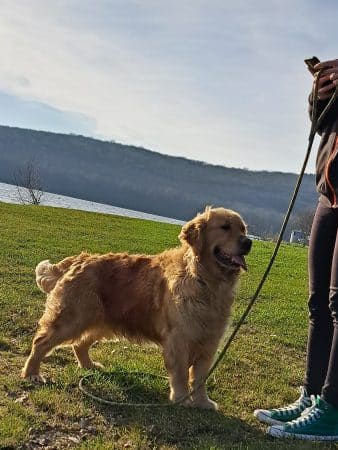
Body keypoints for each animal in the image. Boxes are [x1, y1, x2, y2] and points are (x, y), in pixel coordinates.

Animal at [21, 206, 251, 410]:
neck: (206, 281)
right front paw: (181, 399)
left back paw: (89, 366)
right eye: (224, 227)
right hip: (73, 318)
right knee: (41, 342)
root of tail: (82, 258)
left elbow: (200, 377)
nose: (248, 242)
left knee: (79, 344)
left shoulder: (209, 342)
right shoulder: (179, 340)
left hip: (99, 321)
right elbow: (181, 375)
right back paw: (32, 373)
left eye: (243, 229)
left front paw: (203, 402)